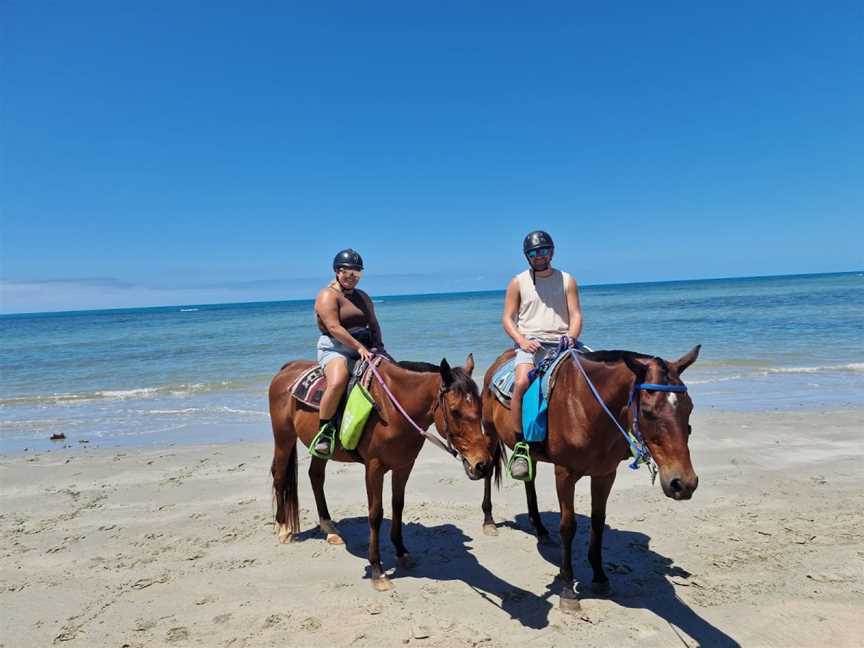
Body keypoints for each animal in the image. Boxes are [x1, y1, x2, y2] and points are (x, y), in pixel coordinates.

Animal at [270, 354, 500, 592]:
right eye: (455, 411)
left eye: (481, 406)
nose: (482, 464)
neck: (392, 410)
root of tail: (288, 368)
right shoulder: (374, 468)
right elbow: (375, 514)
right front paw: (377, 570)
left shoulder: (404, 466)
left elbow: (398, 506)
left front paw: (402, 552)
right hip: (284, 437)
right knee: (279, 477)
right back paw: (283, 528)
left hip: (317, 450)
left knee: (316, 476)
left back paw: (329, 529)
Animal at [480, 346, 704, 612]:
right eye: (648, 412)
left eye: (690, 407)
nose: (683, 483)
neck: (585, 408)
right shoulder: (564, 473)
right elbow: (568, 526)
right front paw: (568, 588)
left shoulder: (604, 474)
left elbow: (598, 522)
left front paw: (599, 577)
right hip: (490, 432)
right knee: (488, 472)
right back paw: (489, 521)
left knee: (529, 480)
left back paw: (541, 529)